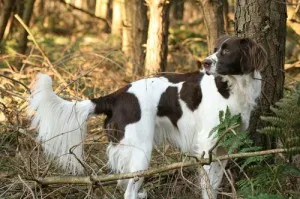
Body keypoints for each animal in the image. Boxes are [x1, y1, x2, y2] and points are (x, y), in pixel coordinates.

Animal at [29, 35, 266, 198]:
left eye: (226, 51)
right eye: (216, 50)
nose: (206, 63)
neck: (232, 87)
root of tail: (118, 95)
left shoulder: (225, 148)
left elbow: (214, 185)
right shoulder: (207, 146)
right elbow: (207, 187)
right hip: (141, 150)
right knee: (128, 191)